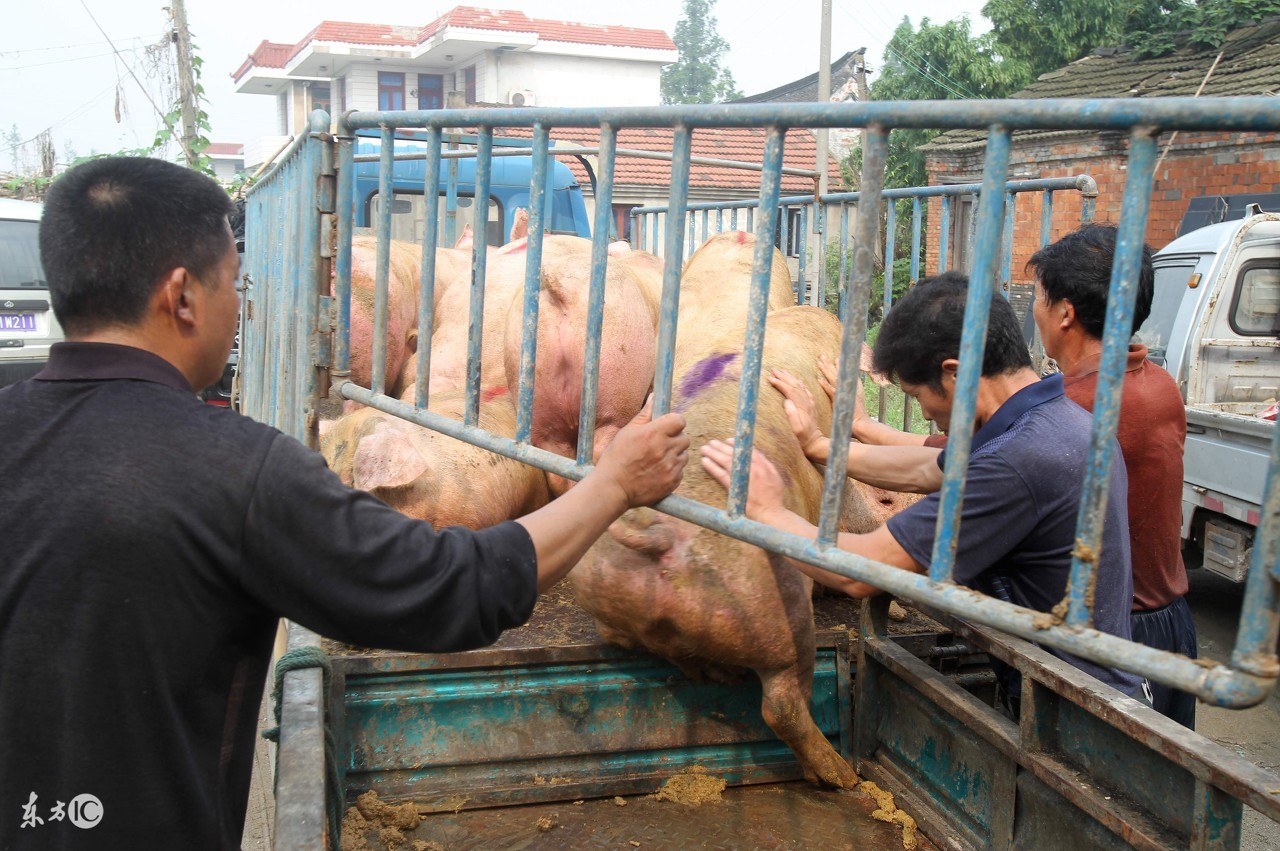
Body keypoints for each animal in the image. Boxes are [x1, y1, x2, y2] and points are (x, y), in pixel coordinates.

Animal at [576, 300, 906, 788]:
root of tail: (658, 535)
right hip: (777, 615)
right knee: (782, 705)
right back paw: (838, 776)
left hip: (612, 607)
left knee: (681, 659)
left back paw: (720, 673)